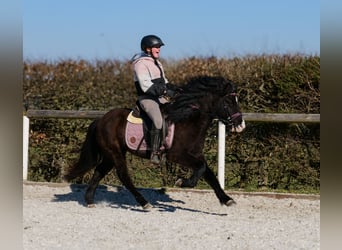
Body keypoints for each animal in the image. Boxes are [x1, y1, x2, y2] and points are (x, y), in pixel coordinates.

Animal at [64, 75, 246, 209]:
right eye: (228, 102)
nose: (241, 125)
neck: (187, 119)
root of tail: (101, 119)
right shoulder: (177, 155)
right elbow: (201, 169)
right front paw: (182, 182)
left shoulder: (196, 154)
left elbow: (209, 174)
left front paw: (226, 199)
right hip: (114, 152)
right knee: (123, 175)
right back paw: (144, 203)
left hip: (112, 154)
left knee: (99, 171)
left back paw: (89, 201)